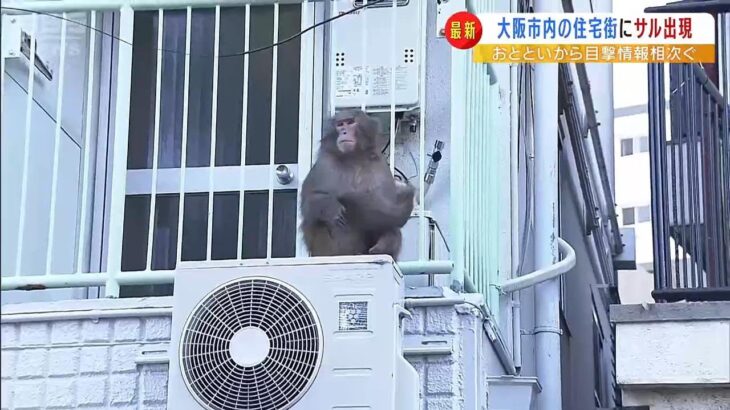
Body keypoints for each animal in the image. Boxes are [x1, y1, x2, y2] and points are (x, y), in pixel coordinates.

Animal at [298, 109, 416, 262]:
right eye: (340, 124)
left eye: (350, 122)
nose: (344, 132)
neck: (353, 158)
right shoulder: (324, 165)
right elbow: (309, 206)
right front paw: (331, 206)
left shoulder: (380, 168)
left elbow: (389, 213)